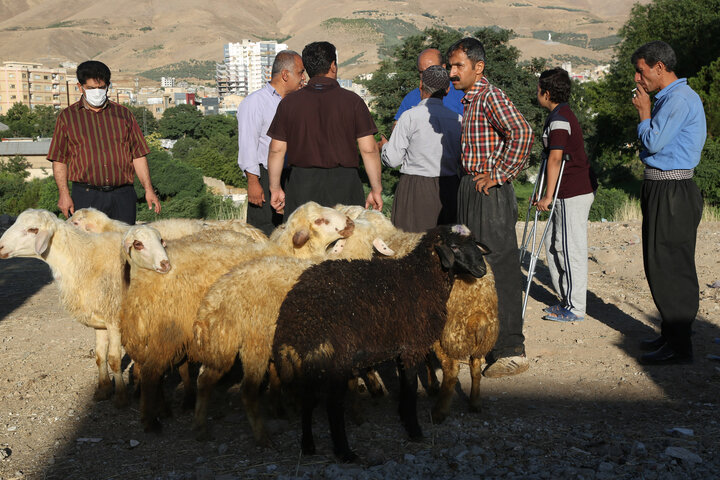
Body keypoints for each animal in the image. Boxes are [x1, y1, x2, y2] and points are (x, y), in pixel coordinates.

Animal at [274, 225, 490, 462]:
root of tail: (293, 320)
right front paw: (414, 430)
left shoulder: (401, 349)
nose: (482, 268)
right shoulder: (412, 347)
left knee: (308, 399)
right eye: (454, 246)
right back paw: (344, 452)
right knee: (333, 405)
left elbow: (405, 385)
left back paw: (308, 446)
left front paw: (404, 417)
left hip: (313, 360)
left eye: (474, 243)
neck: (421, 277)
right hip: (337, 358)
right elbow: (411, 388)